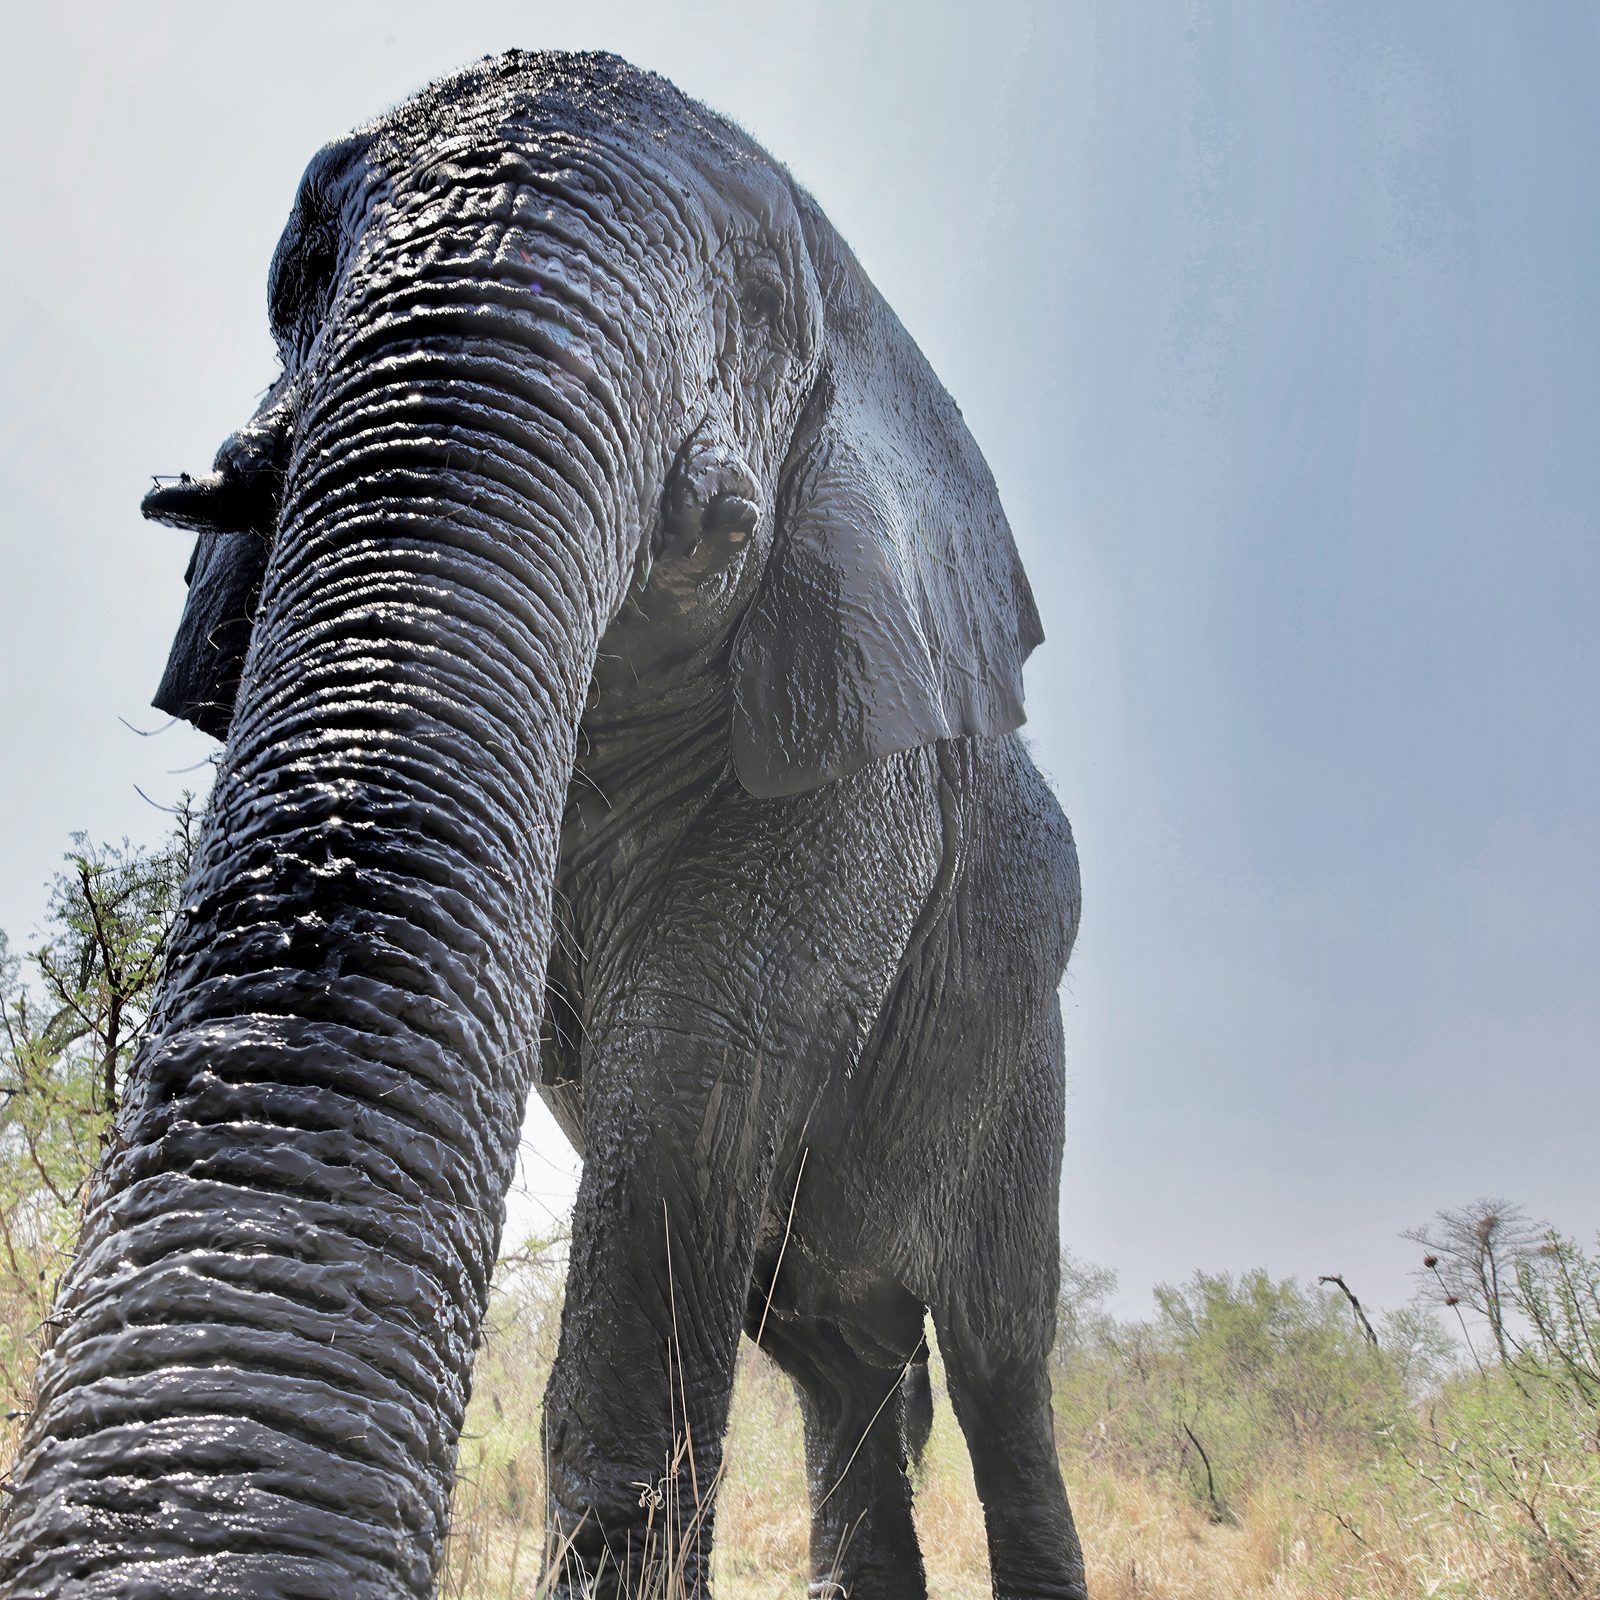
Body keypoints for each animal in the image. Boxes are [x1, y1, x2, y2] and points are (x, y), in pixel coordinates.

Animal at [0, 50, 1085, 1600]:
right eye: (294, 273)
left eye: (766, 299)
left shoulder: (854, 777)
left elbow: (686, 1090)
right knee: (834, 1357)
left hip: (1017, 1055)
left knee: (998, 1359)